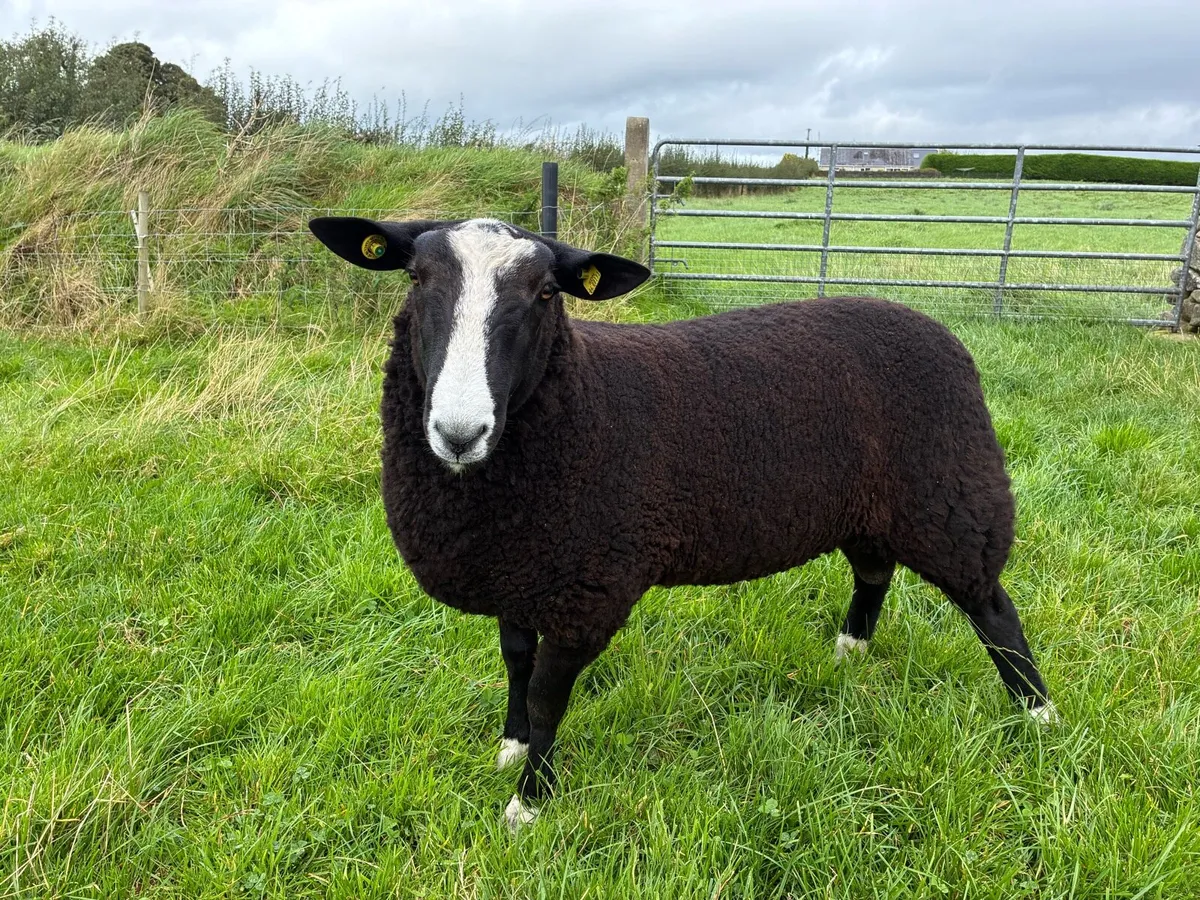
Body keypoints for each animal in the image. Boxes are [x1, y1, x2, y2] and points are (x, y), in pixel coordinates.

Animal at [308, 215, 1055, 831]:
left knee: (993, 609)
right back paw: (849, 654)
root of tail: (937, 329)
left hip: (952, 497)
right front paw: (511, 747)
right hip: (871, 509)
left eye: (547, 293)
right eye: (415, 278)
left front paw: (529, 802)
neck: (578, 403)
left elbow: (549, 695)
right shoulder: (516, 569)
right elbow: (516, 665)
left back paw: (1039, 716)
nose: (460, 433)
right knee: (874, 574)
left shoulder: (588, 588)